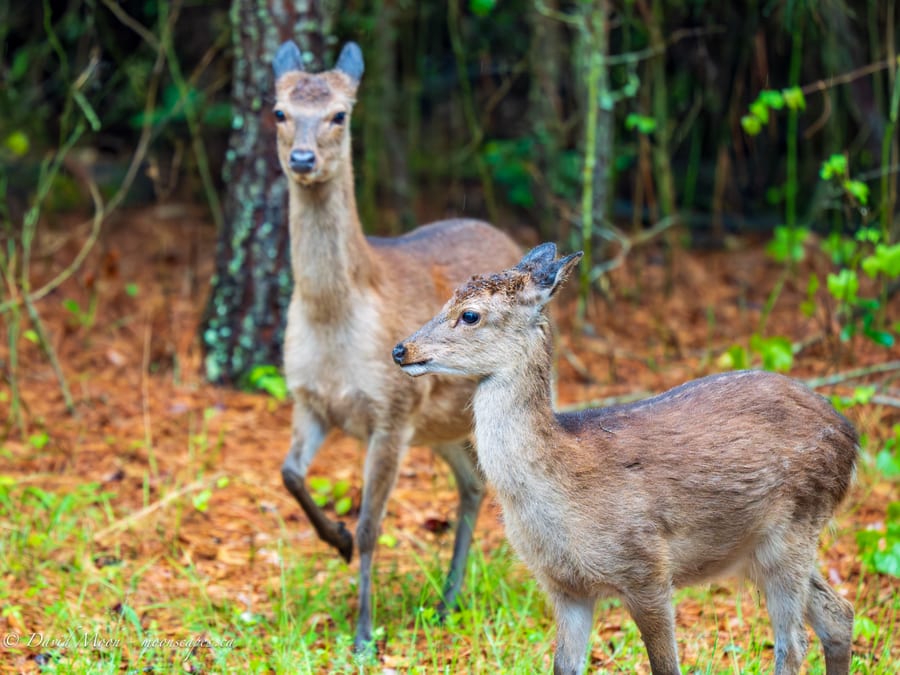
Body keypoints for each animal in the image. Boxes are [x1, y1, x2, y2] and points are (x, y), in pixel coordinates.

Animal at [270, 40, 522, 653]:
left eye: (339, 114)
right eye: (279, 111)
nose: (303, 159)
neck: (335, 323)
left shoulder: (392, 410)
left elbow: (372, 525)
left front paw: (363, 633)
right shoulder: (309, 400)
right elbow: (289, 475)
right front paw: (334, 538)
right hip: (439, 426)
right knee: (472, 482)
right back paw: (447, 600)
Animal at [392, 242, 858, 675]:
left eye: (470, 315)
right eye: (445, 300)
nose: (401, 349)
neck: (559, 490)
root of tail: (850, 435)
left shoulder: (646, 568)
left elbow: (666, 666)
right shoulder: (565, 588)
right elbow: (563, 666)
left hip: (795, 528)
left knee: (793, 645)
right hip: (758, 551)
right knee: (839, 615)